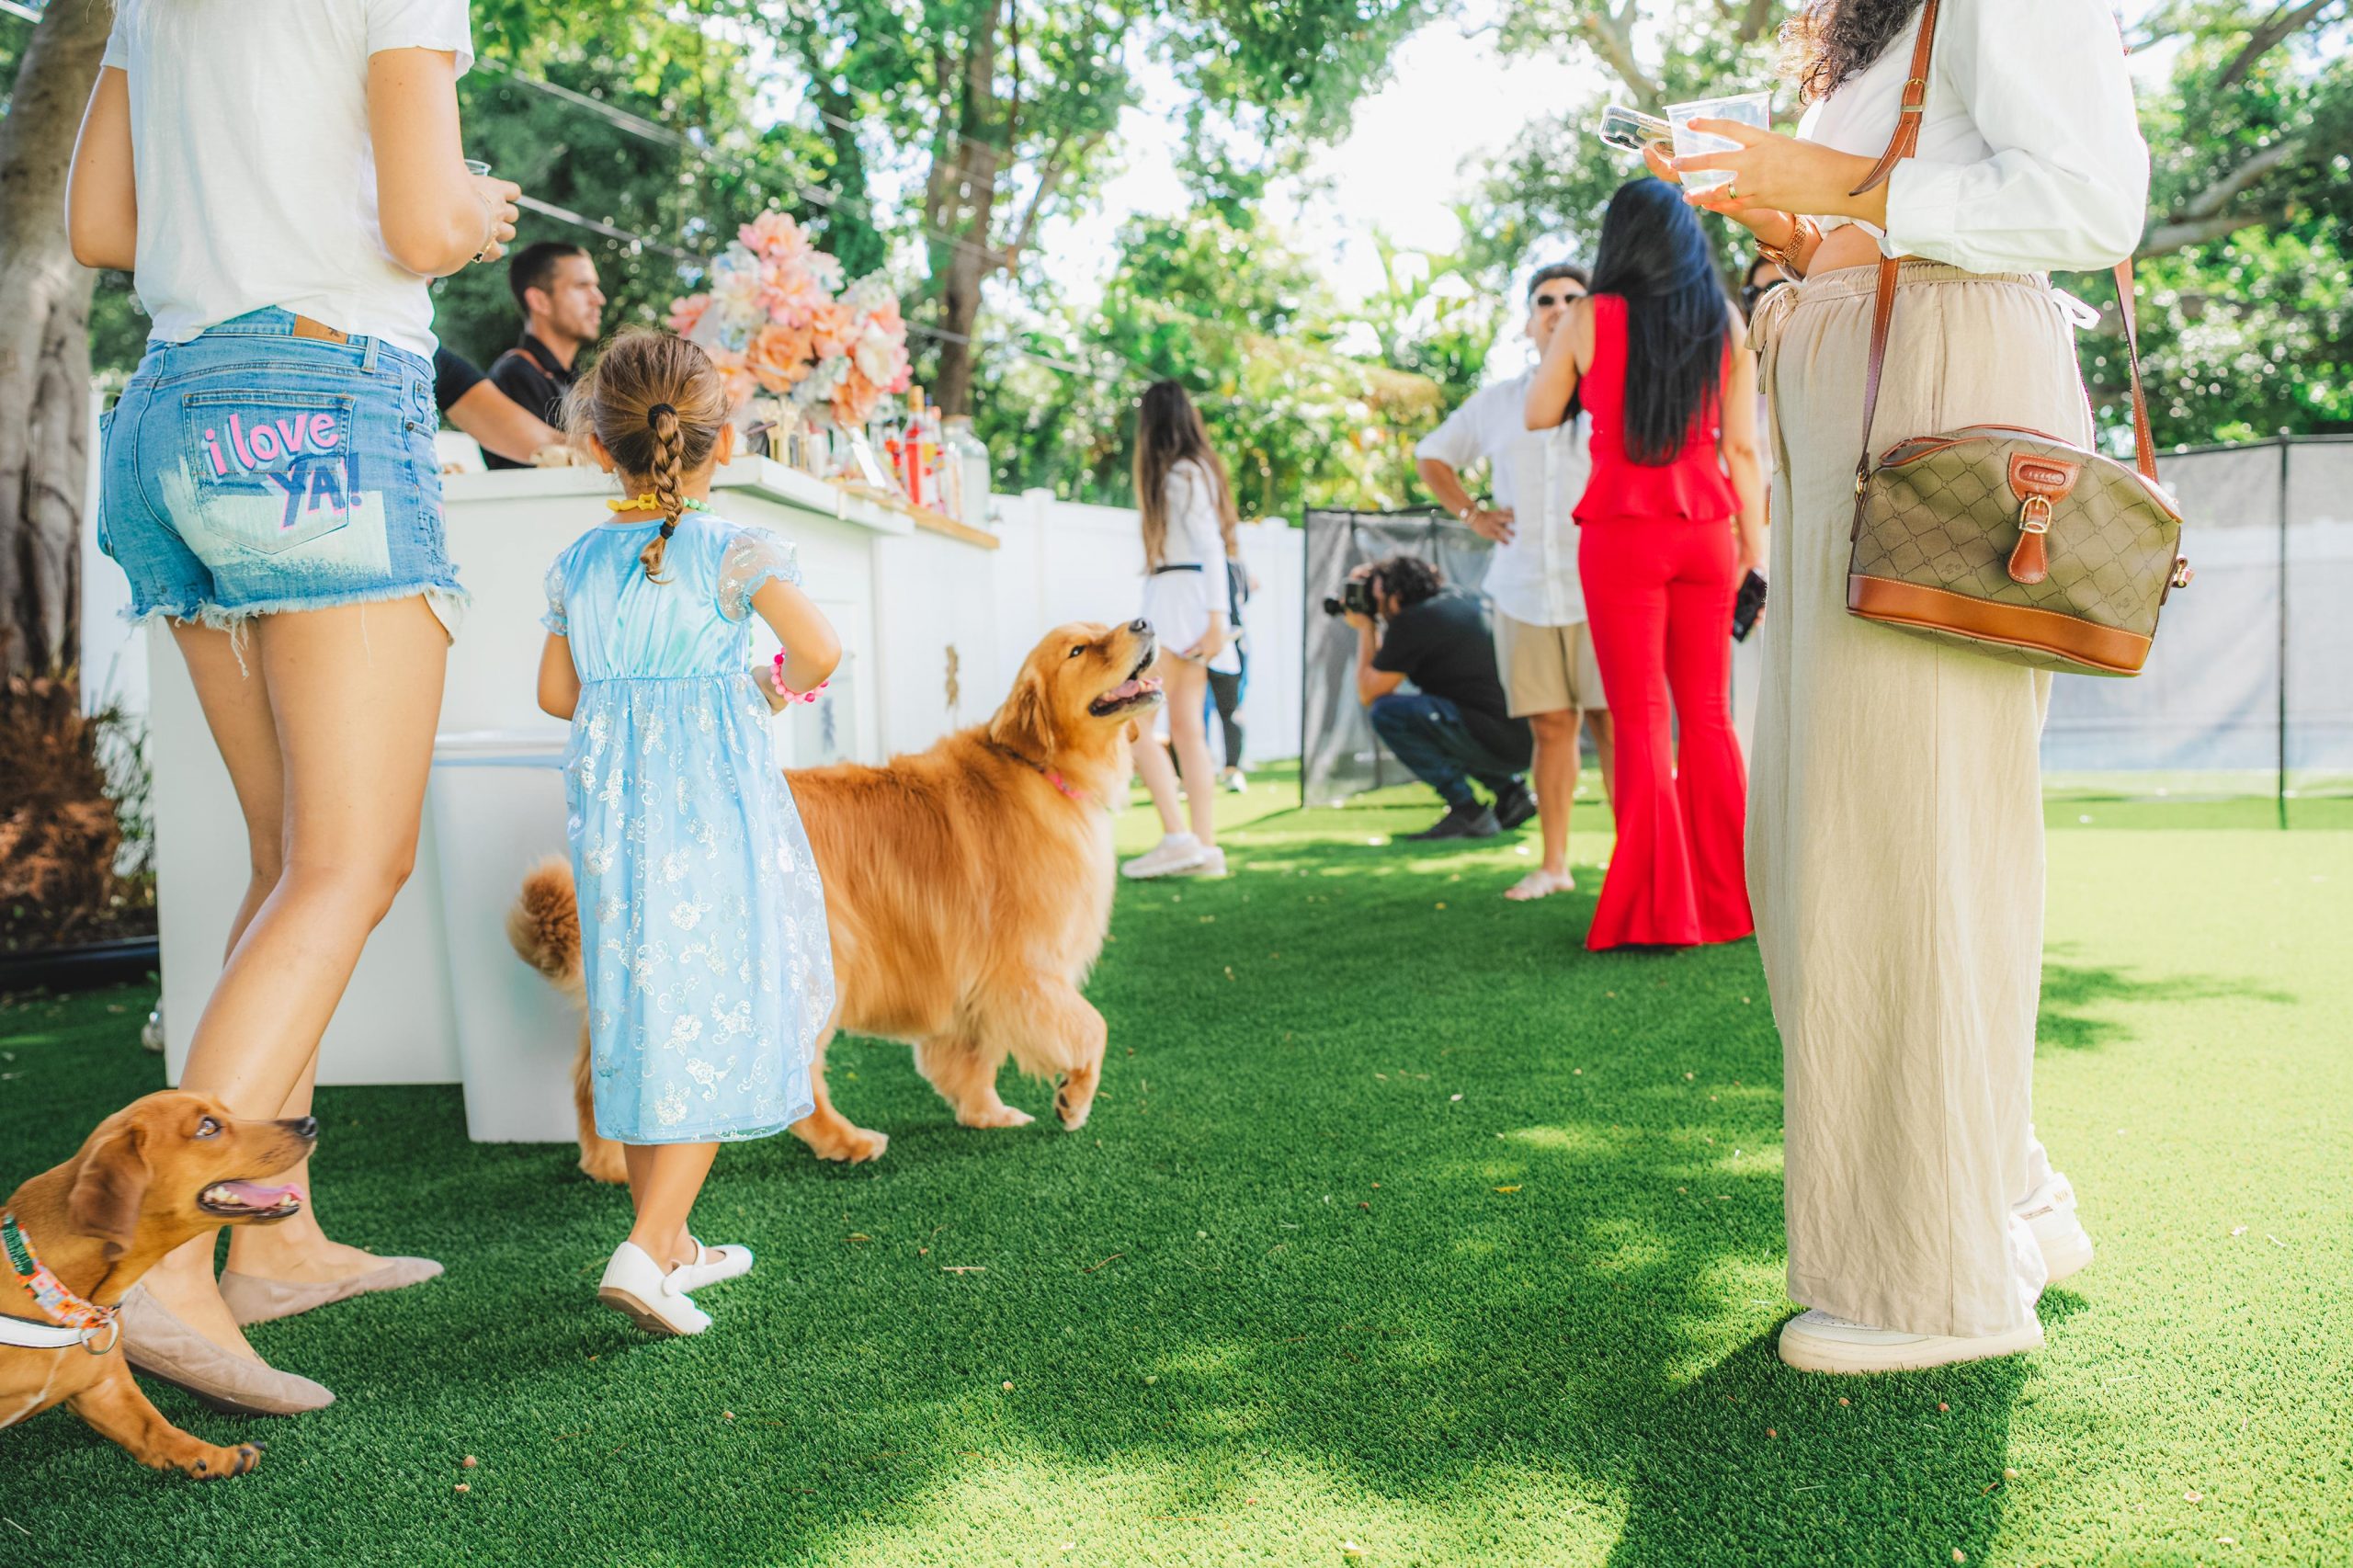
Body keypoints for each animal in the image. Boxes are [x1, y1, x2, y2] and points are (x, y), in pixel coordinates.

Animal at [509, 618, 1165, 1180]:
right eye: (1079, 650)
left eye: (1102, 628)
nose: (1143, 623)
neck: (1036, 766)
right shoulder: (1021, 970)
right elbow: (1092, 1028)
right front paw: (1074, 1099)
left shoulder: (973, 975)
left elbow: (972, 1058)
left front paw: (987, 1113)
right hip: (823, 965)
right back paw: (844, 1141)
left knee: (594, 1079)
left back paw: (608, 1162)